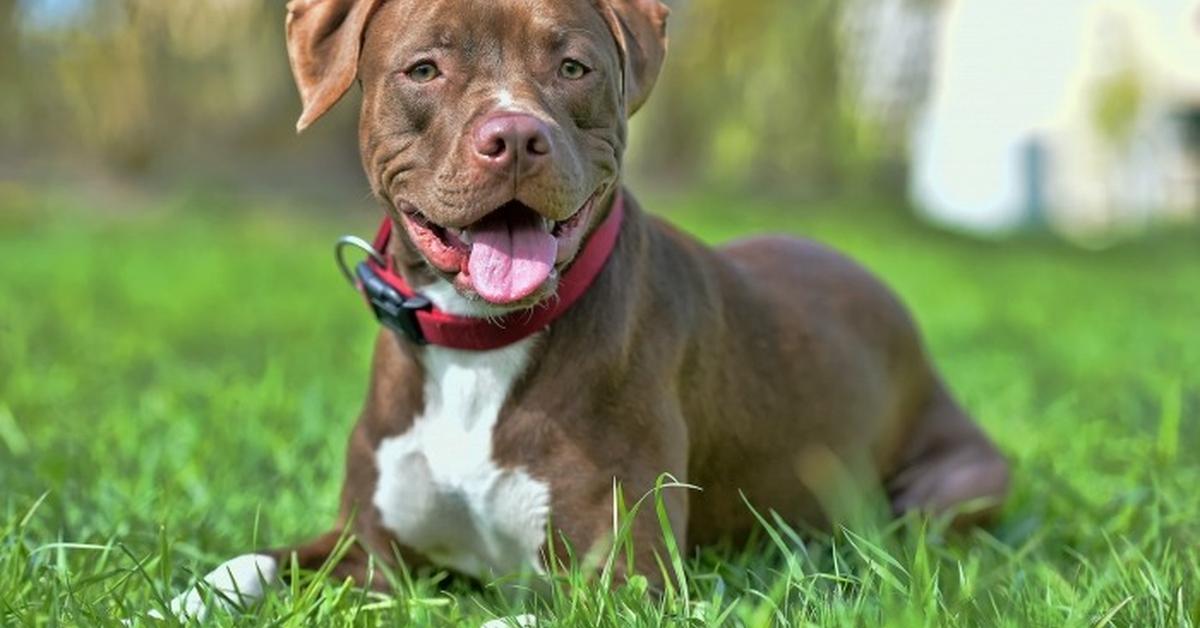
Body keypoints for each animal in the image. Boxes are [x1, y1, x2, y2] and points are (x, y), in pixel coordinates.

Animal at [154, 0, 1008, 619]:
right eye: (425, 68)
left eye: (573, 66)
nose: (515, 135)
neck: (479, 344)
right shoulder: (365, 550)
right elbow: (250, 562)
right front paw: (178, 601)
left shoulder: (628, 576)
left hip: (957, 485)